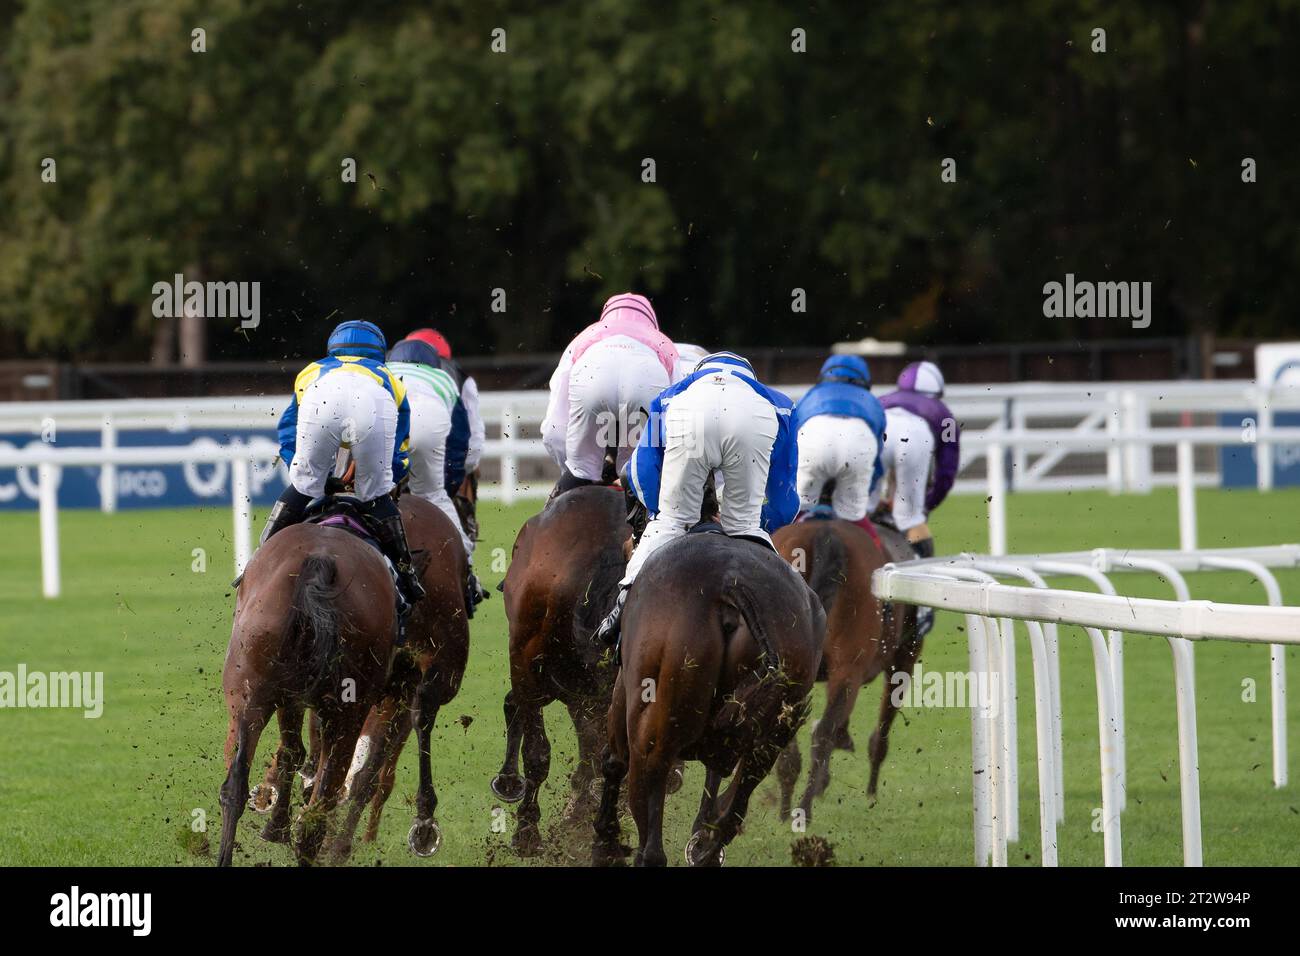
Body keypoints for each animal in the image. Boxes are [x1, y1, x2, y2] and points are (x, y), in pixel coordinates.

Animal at [215, 512, 397, 868]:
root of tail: (319, 563)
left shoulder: (289, 698)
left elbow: (292, 752)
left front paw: (276, 825)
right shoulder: (302, 701)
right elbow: (296, 753)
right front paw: (277, 826)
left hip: (250, 696)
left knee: (235, 787)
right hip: (348, 712)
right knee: (320, 803)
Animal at [592, 535, 821, 868]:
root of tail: (732, 585)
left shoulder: (624, 695)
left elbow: (613, 761)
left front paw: (605, 837)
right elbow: (715, 785)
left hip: (654, 729)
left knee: (652, 841)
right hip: (773, 730)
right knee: (735, 808)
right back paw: (708, 847)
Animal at [769, 515, 925, 822]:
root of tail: (825, 533)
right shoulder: (904, 658)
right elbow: (880, 735)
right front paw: (870, 792)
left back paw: (784, 810)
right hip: (851, 666)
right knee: (823, 733)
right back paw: (803, 809)